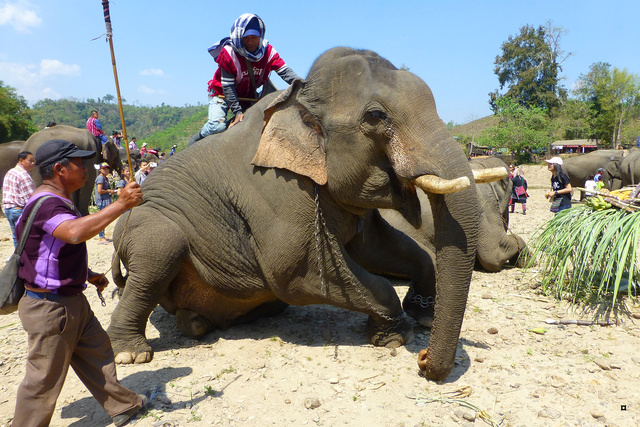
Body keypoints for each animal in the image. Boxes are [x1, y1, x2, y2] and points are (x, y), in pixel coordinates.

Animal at [107, 47, 502, 382]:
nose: (423, 364)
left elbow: (381, 247)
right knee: (161, 248)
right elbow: (296, 273)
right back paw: (131, 354)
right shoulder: (276, 188)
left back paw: (202, 322)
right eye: (376, 116)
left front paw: (423, 316)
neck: (297, 100)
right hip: (146, 227)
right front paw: (393, 336)